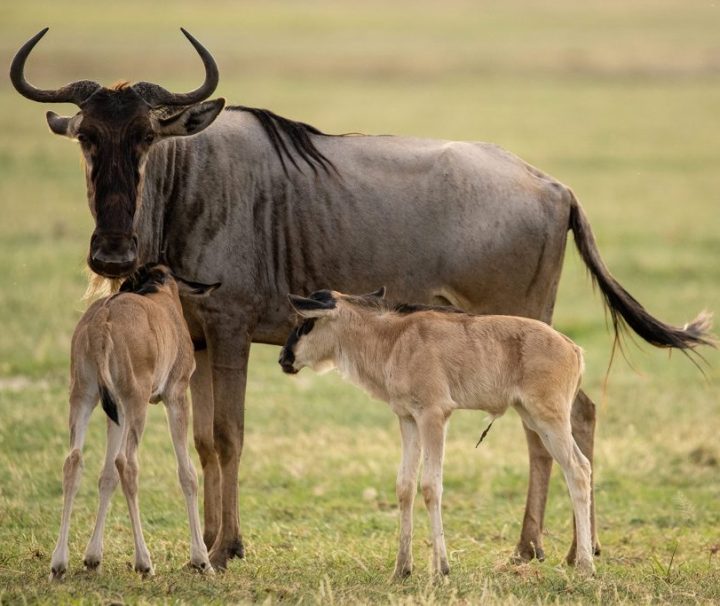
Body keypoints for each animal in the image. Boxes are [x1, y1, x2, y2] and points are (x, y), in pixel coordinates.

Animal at [50, 264, 219, 580]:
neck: (159, 290)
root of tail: (102, 320)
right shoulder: (176, 396)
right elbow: (187, 473)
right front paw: (201, 559)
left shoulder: (115, 410)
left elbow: (106, 476)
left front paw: (92, 557)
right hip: (136, 401)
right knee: (126, 463)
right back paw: (144, 562)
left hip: (84, 396)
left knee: (74, 461)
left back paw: (58, 562)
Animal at [280, 288, 597, 577]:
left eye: (306, 323)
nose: (284, 359)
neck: (394, 341)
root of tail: (572, 347)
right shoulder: (408, 419)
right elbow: (405, 486)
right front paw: (402, 568)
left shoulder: (434, 416)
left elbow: (431, 486)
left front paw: (441, 568)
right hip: (535, 419)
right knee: (576, 468)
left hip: (550, 419)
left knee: (578, 470)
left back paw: (585, 564)